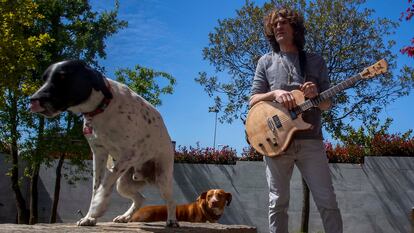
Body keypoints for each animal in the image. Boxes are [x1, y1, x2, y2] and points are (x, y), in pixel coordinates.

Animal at [29, 59, 178, 226]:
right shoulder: (98, 153)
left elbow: (106, 181)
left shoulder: (130, 154)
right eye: (44, 79)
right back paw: (125, 217)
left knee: (171, 201)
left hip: (162, 178)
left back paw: (172, 220)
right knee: (140, 198)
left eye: (63, 78)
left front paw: (97, 207)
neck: (102, 108)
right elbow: (97, 186)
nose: (33, 100)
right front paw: (89, 217)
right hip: (124, 184)